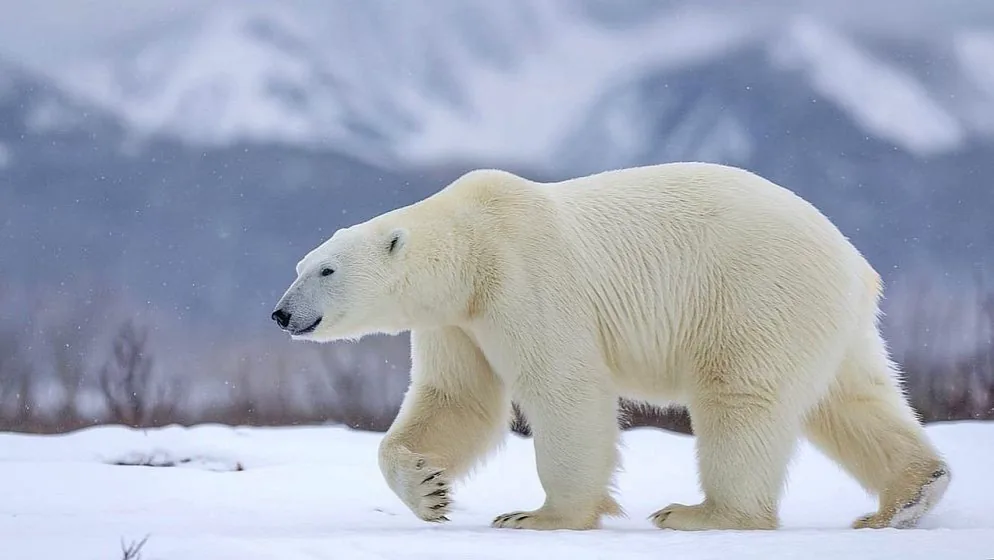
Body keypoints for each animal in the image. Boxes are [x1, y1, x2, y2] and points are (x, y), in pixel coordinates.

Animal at [271, 162, 950, 532]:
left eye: (326, 269)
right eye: (300, 265)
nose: (281, 314)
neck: (474, 244)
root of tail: (855, 263)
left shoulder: (523, 278)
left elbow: (564, 386)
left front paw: (537, 516)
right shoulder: (458, 321)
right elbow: (457, 399)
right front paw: (428, 488)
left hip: (757, 292)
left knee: (739, 398)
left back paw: (704, 513)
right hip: (828, 320)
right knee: (853, 399)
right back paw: (907, 497)